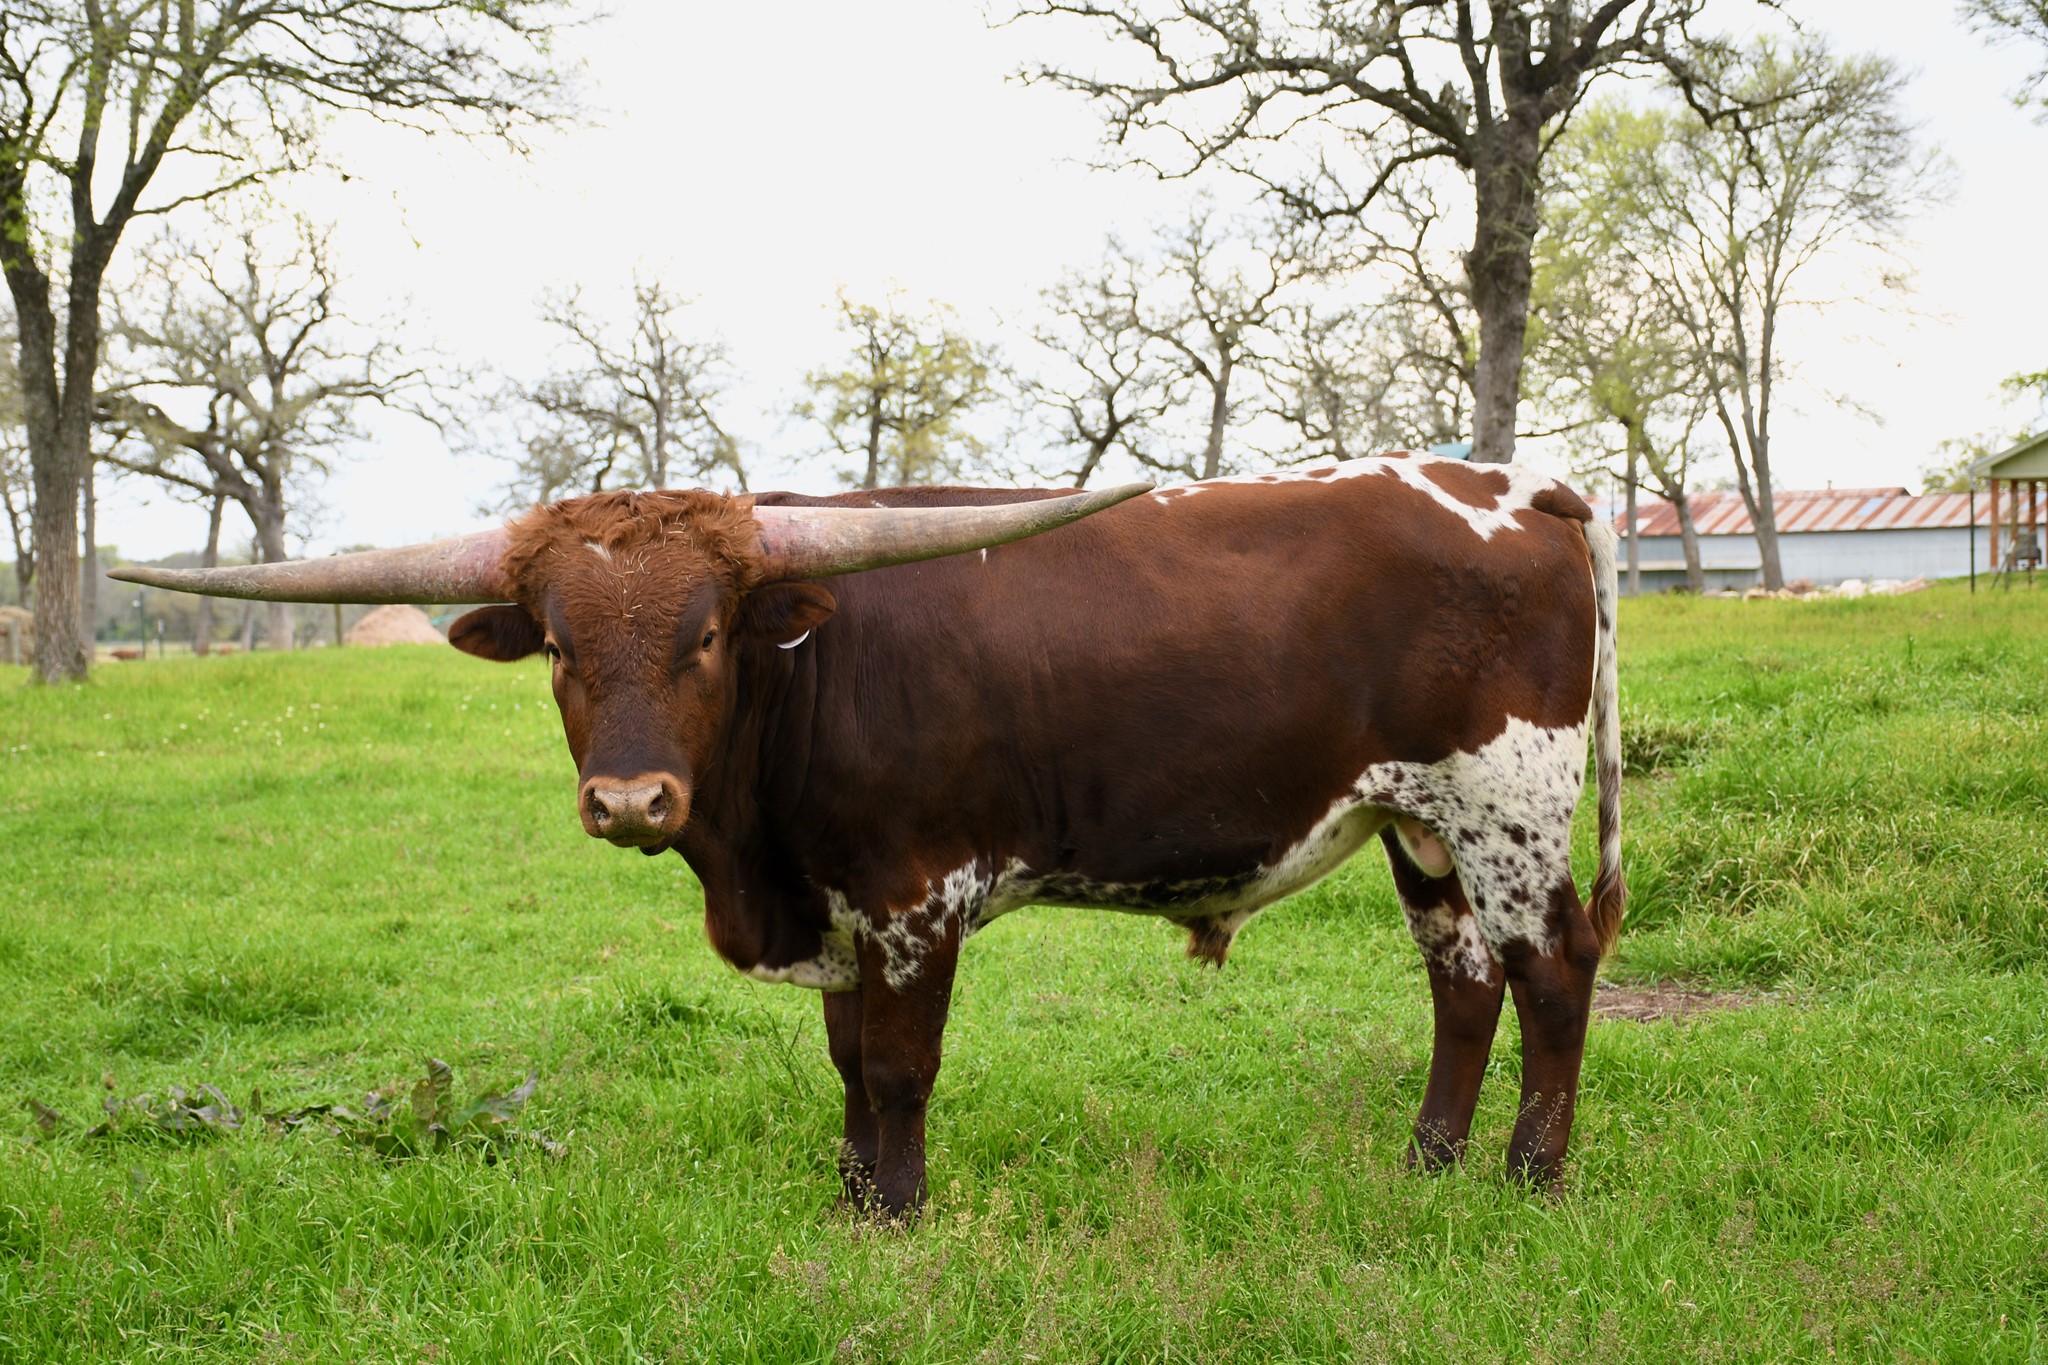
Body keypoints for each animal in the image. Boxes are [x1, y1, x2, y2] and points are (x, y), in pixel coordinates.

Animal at [114, 455, 1622, 1218]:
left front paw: (894, 1210)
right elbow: (844, 1062)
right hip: (1417, 821)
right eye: (555, 645)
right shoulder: (832, 903)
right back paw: (1426, 1162)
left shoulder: (911, 894)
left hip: (1507, 805)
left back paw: (1530, 1179)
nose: (629, 803)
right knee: (1460, 983)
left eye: (705, 633)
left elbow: (898, 1068)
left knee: (1549, 977)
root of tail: (1516, 487)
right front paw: (845, 1193)